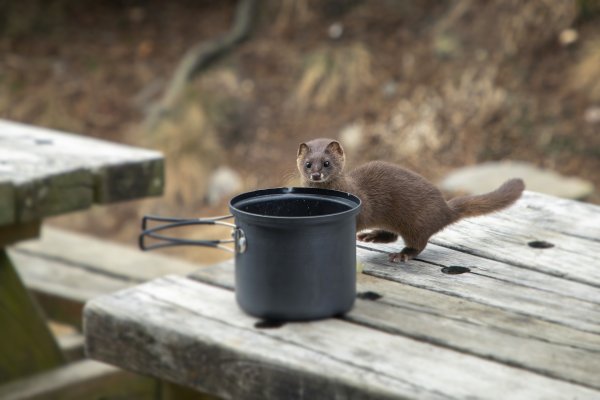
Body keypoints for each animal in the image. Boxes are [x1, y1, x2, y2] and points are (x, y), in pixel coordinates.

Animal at [298, 138, 524, 262]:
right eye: (308, 164)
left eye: (327, 163)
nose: (316, 175)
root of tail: (445, 208)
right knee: (392, 235)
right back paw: (372, 236)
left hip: (416, 223)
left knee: (418, 243)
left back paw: (402, 254)